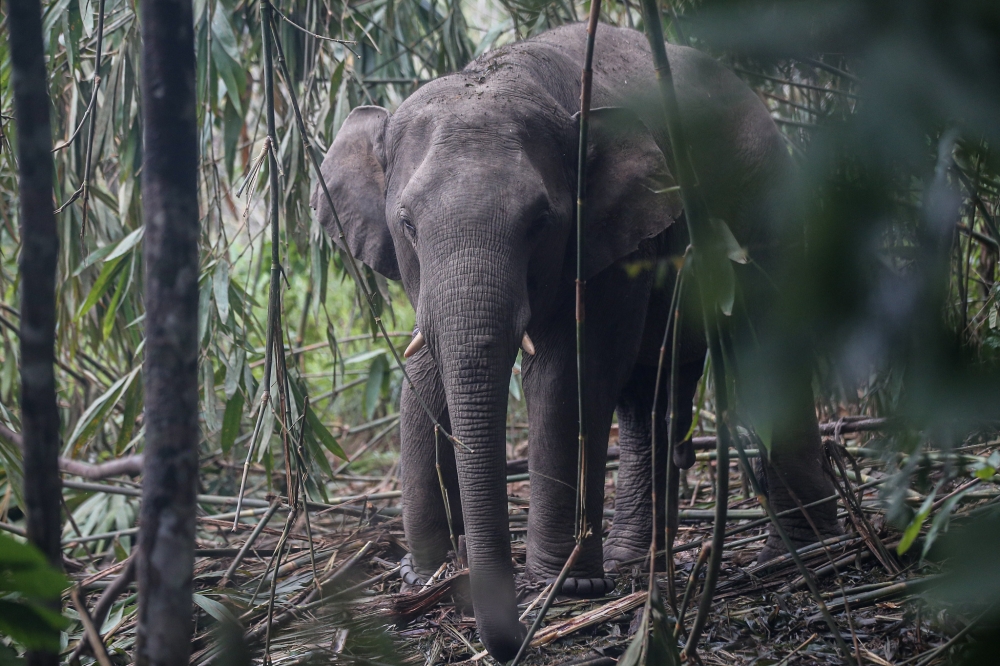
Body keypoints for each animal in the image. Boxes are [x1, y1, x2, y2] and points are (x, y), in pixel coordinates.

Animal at [310, 20, 836, 660]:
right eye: (406, 223)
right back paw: (640, 562)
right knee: (653, 390)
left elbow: (571, 372)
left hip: (766, 204)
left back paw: (802, 551)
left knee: (765, 342)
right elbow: (426, 372)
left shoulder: (613, 238)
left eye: (540, 221)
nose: (508, 638)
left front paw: (567, 587)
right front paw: (423, 577)